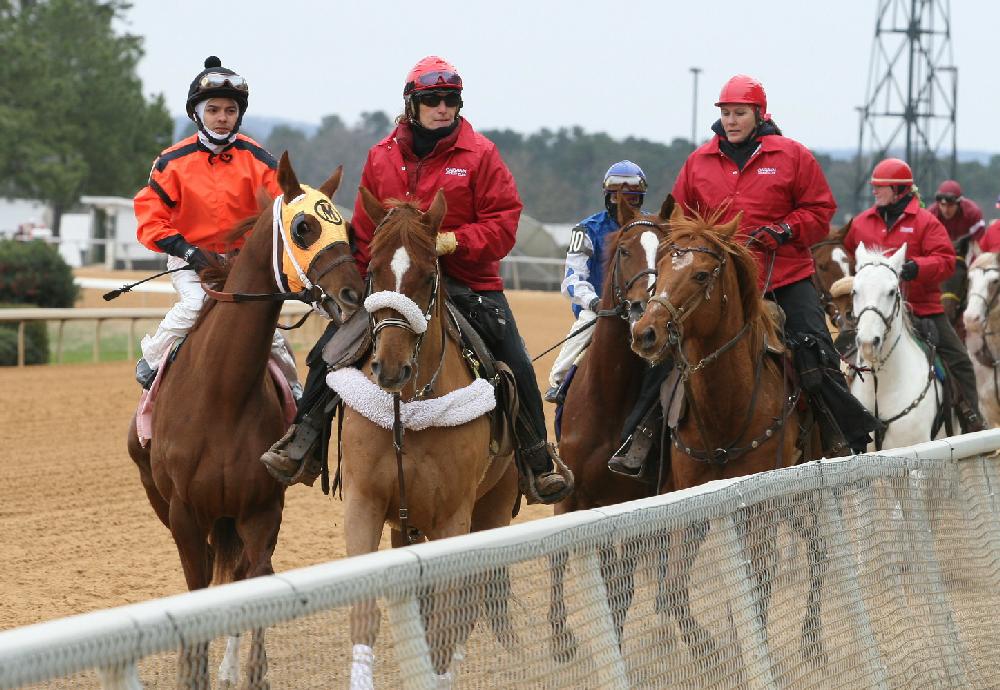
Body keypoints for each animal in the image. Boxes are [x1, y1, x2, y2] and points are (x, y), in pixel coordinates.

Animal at [127, 153, 363, 689]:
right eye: (303, 227)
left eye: (346, 229)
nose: (353, 294)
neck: (221, 396)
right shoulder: (185, 514)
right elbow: (197, 590)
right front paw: (191, 672)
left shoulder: (261, 510)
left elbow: (253, 583)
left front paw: (247, 671)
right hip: (165, 500)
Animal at [336, 187, 519, 686]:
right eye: (373, 271)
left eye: (428, 275)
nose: (390, 368)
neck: (410, 411)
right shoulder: (364, 503)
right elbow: (366, 615)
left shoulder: (452, 519)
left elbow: (443, 625)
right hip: (407, 526)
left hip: (492, 512)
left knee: (465, 610)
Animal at [548, 195, 673, 661]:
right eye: (623, 251)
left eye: (670, 251)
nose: (643, 309)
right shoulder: (576, 493)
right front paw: (561, 637)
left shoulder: (632, 498)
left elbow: (622, 583)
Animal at [629, 210, 827, 669]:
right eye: (660, 267)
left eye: (702, 275)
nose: (645, 332)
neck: (727, 410)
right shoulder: (692, 499)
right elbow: (674, 587)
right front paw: (711, 653)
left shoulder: (761, 504)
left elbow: (759, 579)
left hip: (799, 493)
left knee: (817, 551)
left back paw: (811, 641)